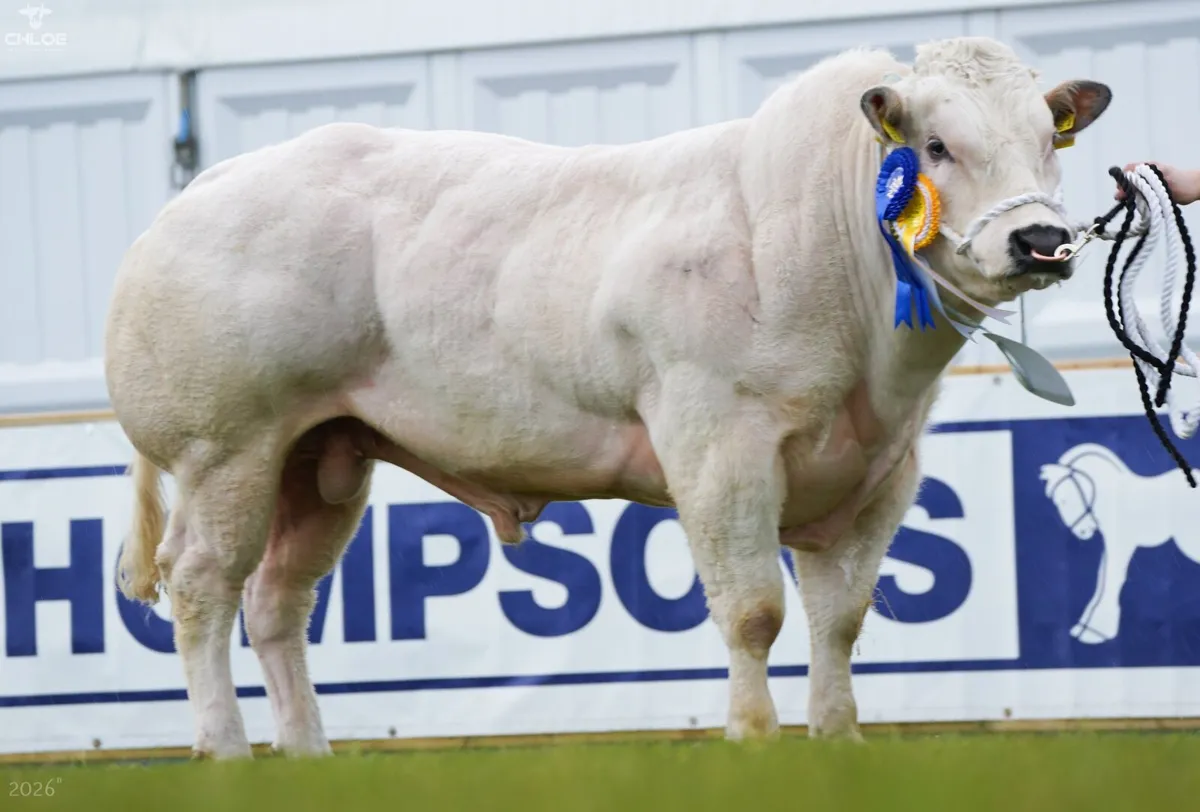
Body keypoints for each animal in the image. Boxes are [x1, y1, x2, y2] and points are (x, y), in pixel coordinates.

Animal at [104, 36, 1111, 759]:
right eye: (938, 146)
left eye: (1047, 144)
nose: (1042, 241)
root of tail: (202, 189)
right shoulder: (717, 446)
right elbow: (753, 610)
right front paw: (754, 740)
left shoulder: (880, 474)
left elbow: (840, 622)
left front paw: (837, 741)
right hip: (225, 449)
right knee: (204, 588)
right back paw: (224, 751)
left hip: (321, 458)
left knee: (278, 603)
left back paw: (308, 759)